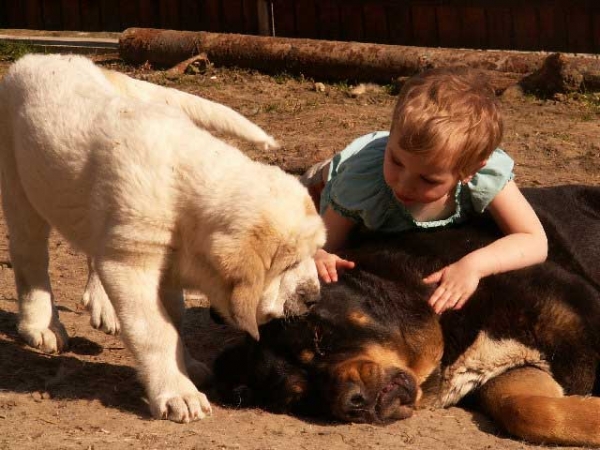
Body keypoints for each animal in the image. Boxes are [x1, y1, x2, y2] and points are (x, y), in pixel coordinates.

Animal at [0, 54, 326, 424]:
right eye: (288, 264)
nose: (314, 298)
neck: (184, 191)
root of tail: (40, 57)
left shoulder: (167, 266)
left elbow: (175, 320)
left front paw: (188, 366)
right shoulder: (133, 267)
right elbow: (157, 332)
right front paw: (179, 392)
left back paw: (102, 305)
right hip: (20, 188)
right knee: (31, 258)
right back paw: (41, 325)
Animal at [216, 185, 600, 444]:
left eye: (319, 338)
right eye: (300, 397)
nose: (352, 403)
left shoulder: (577, 315)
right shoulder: (513, 372)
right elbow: (530, 409)